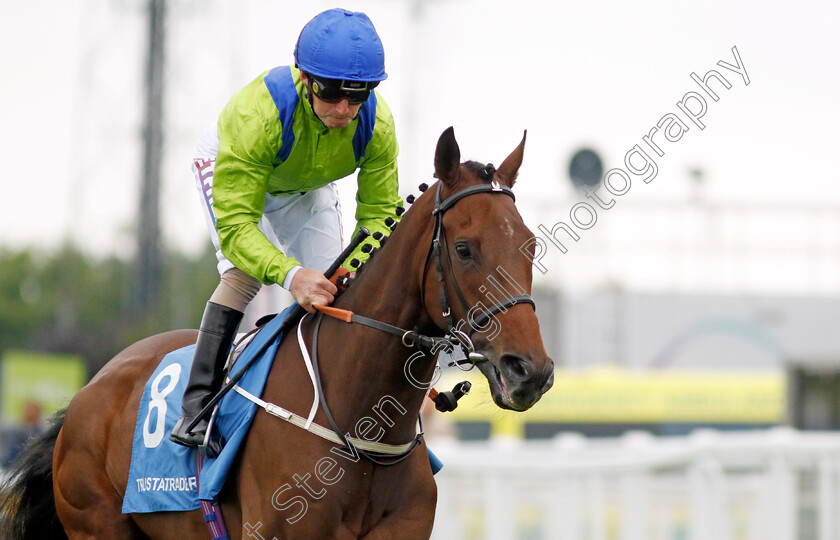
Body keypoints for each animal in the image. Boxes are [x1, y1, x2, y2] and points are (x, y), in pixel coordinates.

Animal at [1, 127, 556, 540]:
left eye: (529, 245)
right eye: (464, 249)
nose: (530, 371)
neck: (358, 422)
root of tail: (88, 391)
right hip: (96, 522)